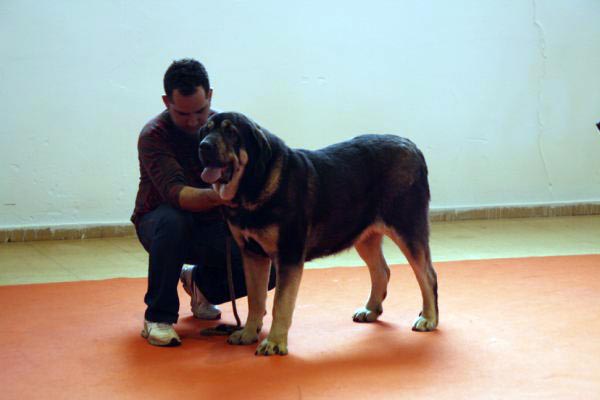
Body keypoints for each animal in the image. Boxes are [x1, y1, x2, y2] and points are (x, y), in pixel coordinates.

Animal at [199, 112, 438, 356]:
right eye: (206, 130)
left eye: (231, 132)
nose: (203, 146)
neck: (255, 184)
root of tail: (412, 146)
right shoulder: (252, 255)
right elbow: (255, 300)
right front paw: (248, 333)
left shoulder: (288, 256)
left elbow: (280, 304)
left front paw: (274, 342)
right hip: (364, 236)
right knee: (382, 271)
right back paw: (371, 310)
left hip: (407, 229)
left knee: (427, 275)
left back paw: (429, 318)